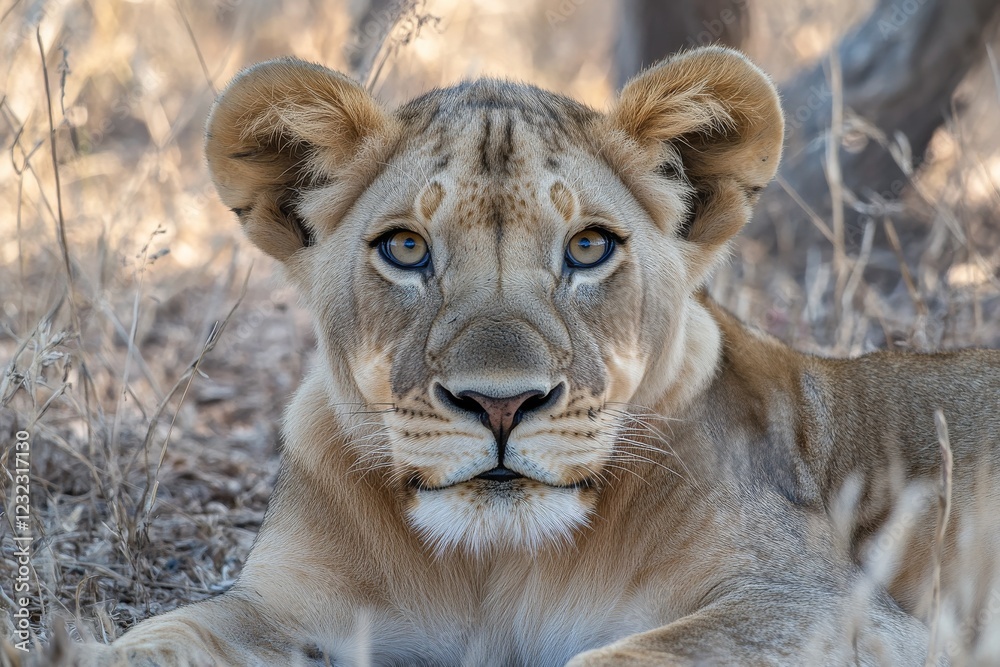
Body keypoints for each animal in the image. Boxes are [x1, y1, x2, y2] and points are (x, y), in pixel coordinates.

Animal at [51, 46, 1000, 666]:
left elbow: (619, 656)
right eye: (405, 249)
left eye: (587, 248)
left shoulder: (831, 610)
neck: (496, 564)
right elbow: (157, 636)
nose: (500, 404)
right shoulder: (276, 602)